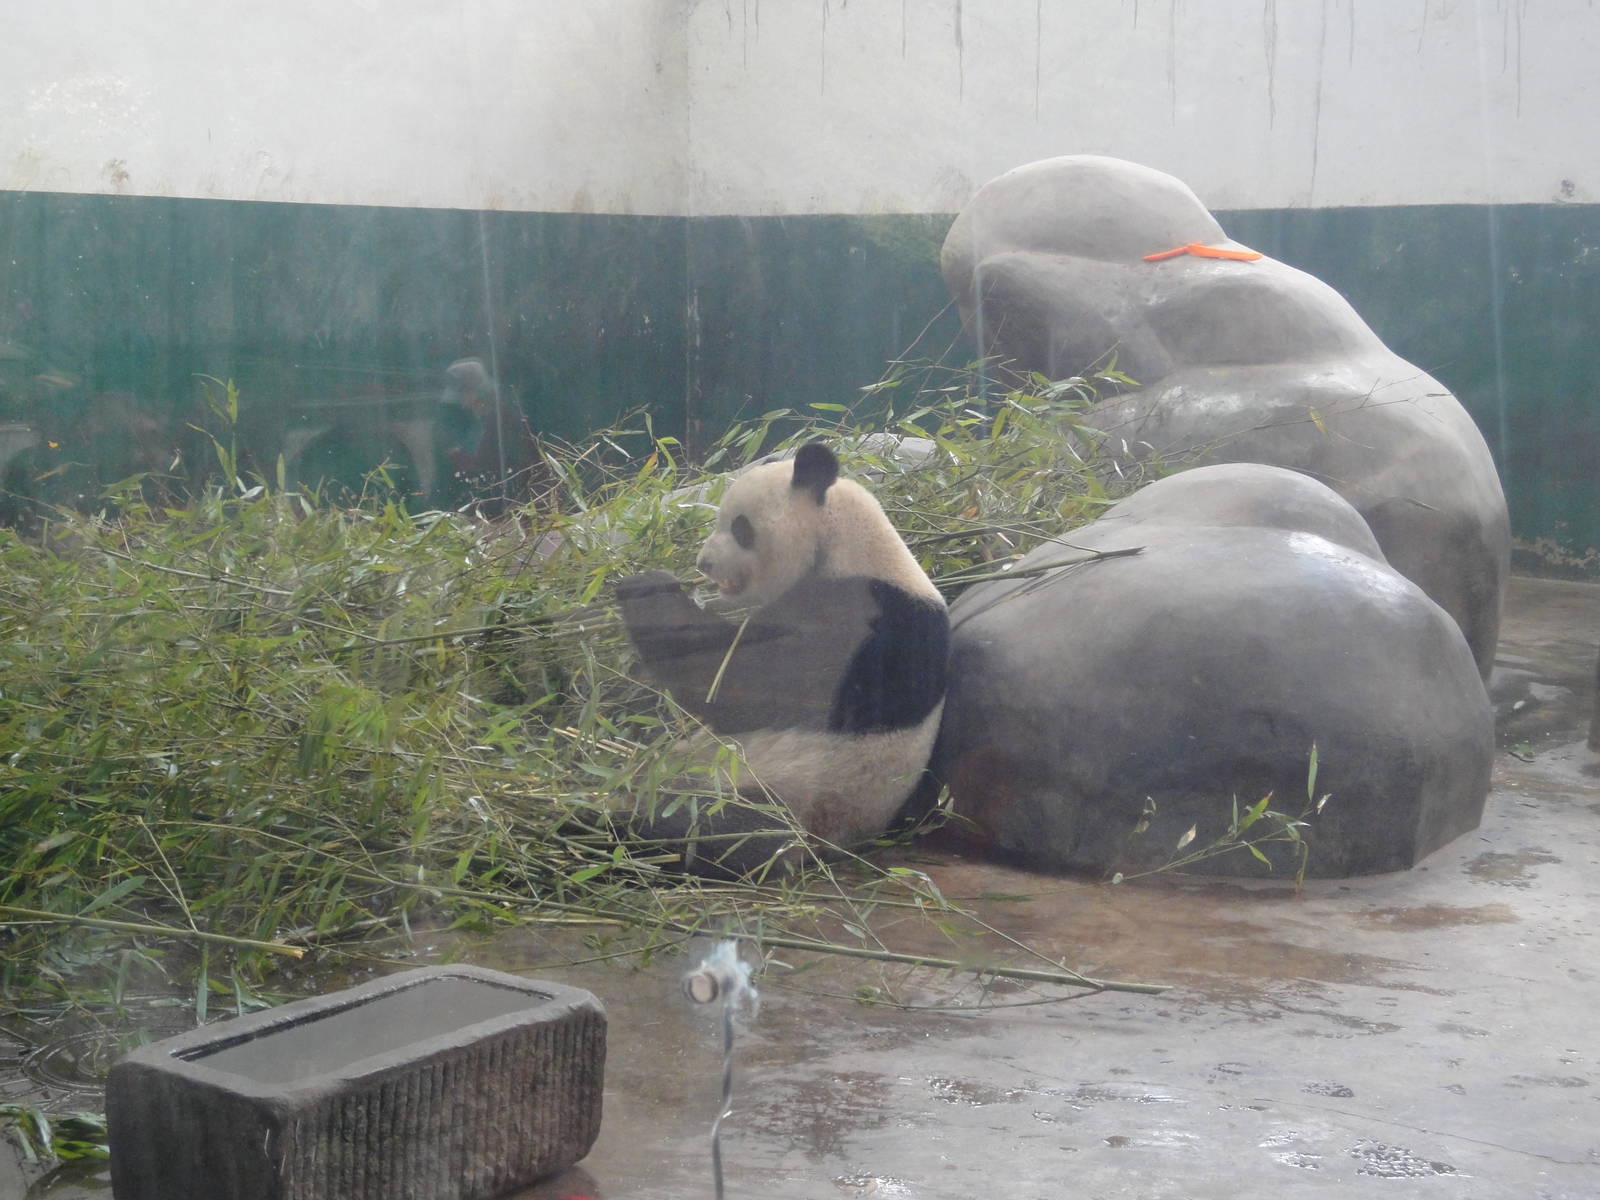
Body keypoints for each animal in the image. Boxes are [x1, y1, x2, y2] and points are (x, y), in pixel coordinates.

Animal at [614, 441, 949, 875]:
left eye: (740, 527)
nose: (704, 564)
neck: (845, 541)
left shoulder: (859, 619)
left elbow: (740, 683)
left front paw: (647, 586)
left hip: (773, 793)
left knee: (706, 829)